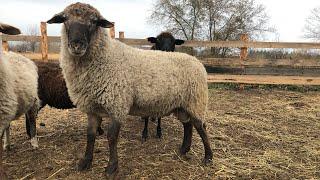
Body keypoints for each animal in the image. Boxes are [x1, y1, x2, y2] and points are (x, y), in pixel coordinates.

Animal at [47, 2, 212, 177]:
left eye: (94, 21)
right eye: (65, 19)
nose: (77, 45)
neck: (105, 56)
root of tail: (197, 61)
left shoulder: (117, 104)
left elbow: (112, 137)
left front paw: (112, 167)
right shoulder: (92, 108)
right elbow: (90, 134)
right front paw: (85, 162)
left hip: (196, 101)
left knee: (201, 126)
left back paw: (208, 157)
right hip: (183, 105)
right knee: (188, 126)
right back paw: (183, 150)